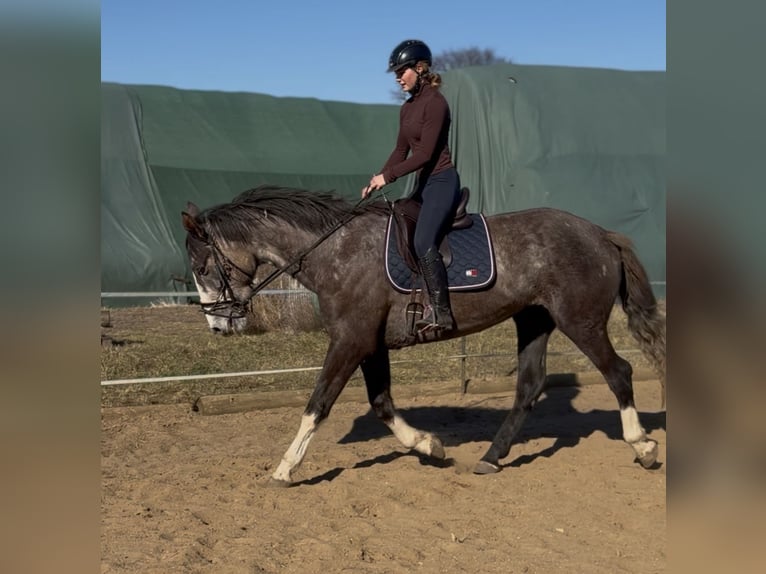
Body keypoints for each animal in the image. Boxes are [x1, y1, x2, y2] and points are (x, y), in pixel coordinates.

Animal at [181, 185, 666, 487]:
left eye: (203, 267)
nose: (218, 325)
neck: (335, 252)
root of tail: (600, 233)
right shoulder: (370, 344)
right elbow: (381, 404)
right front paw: (429, 446)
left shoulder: (350, 341)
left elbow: (317, 404)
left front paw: (284, 469)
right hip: (534, 321)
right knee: (529, 386)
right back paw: (491, 457)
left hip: (580, 321)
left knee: (619, 372)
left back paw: (642, 446)